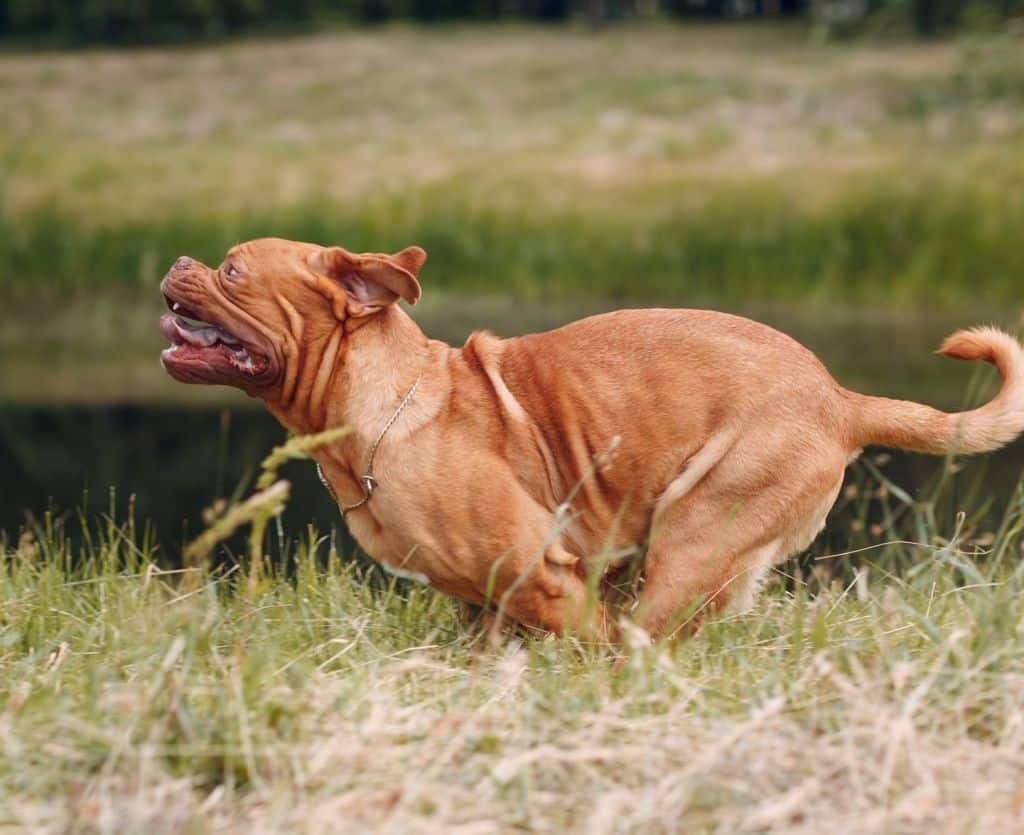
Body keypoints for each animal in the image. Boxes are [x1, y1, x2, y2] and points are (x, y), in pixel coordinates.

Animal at [157, 238, 1024, 643]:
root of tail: (842, 399)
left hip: (692, 537)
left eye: (232, 271)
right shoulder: (484, 604)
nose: (176, 258)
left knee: (638, 640)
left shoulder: (539, 573)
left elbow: (583, 639)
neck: (388, 398)